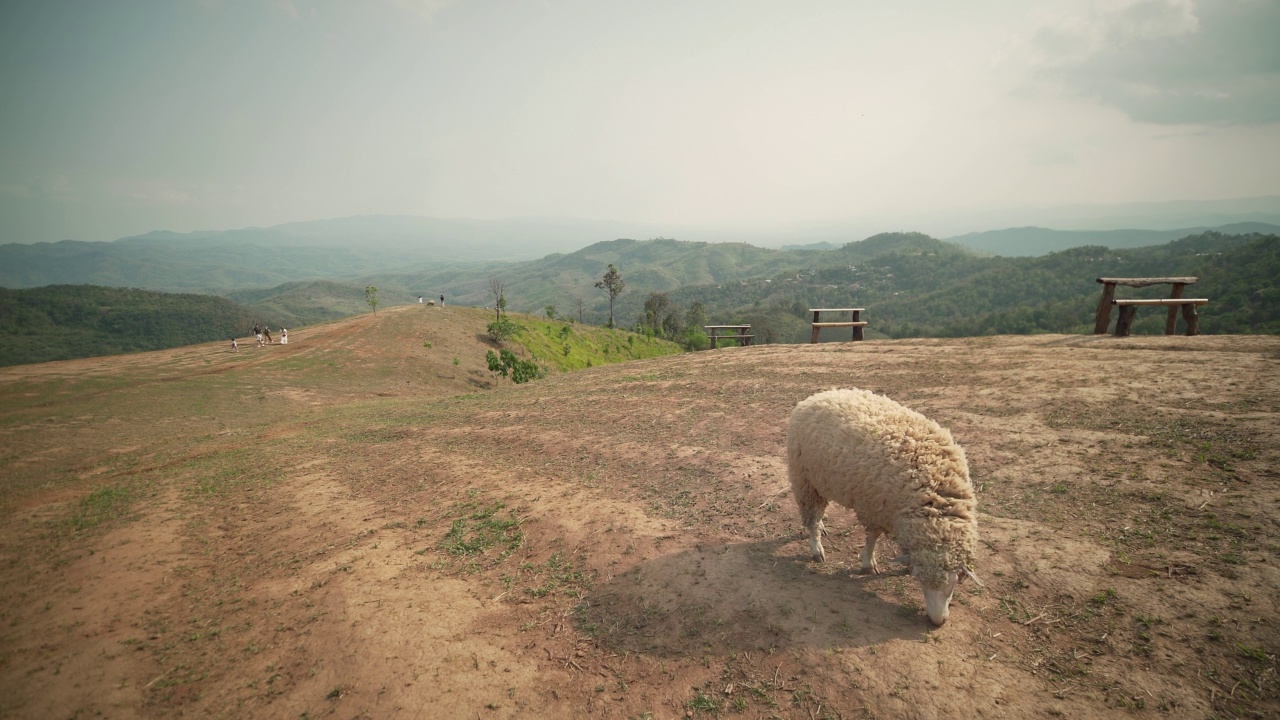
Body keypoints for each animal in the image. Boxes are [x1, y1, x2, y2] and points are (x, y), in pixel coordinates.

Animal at [783, 386, 983, 622]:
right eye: (920, 584)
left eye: (954, 584)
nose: (937, 621)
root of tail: (817, 396)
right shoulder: (873, 507)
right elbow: (872, 537)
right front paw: (868, 564)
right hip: (806, 480)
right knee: (811, 517)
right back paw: (817, 549)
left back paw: (822, 527)